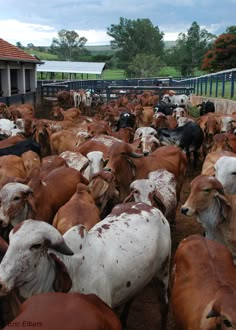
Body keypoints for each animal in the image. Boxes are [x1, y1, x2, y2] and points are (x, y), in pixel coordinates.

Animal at [0, 202, 171, 328]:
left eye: (35, 246)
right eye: (10, 241)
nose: (1, 283)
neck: (72, 269)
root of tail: (152, 207)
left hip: (163, 272)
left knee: (164, 306)